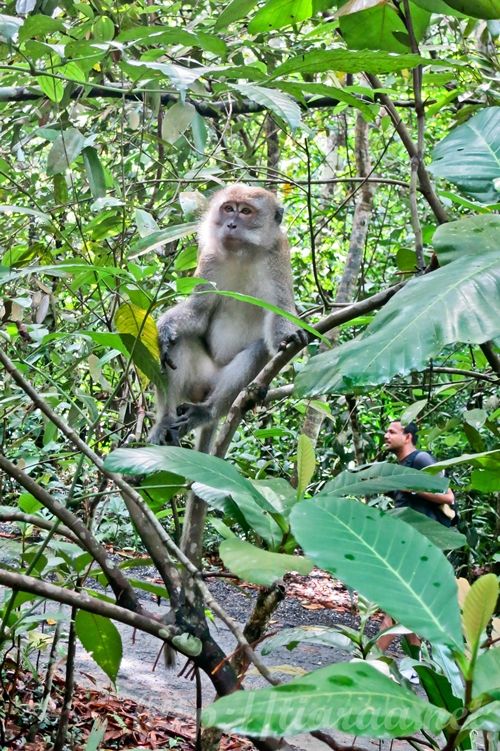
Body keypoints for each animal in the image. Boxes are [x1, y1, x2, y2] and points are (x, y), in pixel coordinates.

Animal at [146, 184, 306, 450]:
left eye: (246, 212)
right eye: (229, 208)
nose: (230, 224)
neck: (243, 254)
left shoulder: (278, 256)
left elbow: (279, 313)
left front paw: (289, 337)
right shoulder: (210, 258)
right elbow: (198, 312)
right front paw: (166, 328)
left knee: (258, 351)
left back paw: (206, 412)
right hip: (197, 379)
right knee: (179, 343)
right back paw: (166, 422)